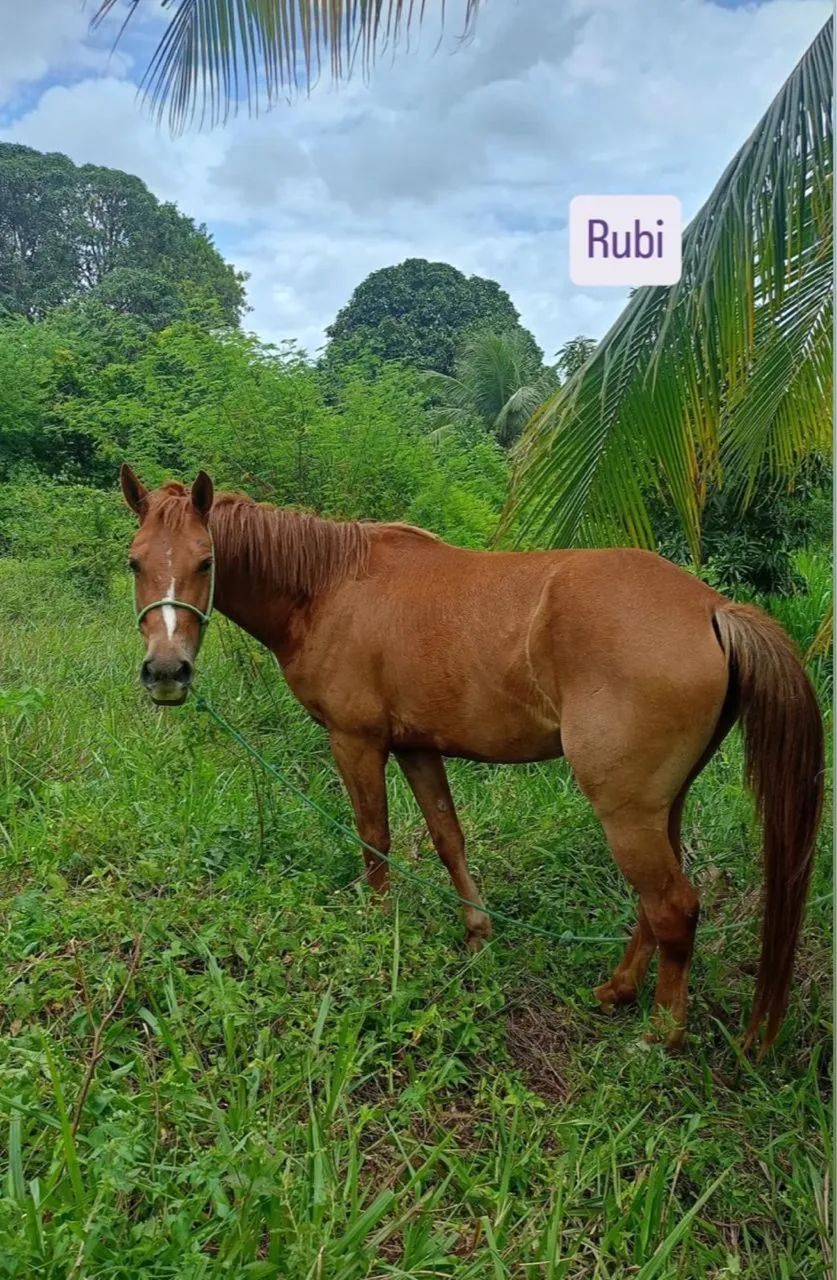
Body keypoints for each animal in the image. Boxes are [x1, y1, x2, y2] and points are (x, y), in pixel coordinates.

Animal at [119, 464, 824, 1052]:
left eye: (207, 561)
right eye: (133, 563)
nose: (166, 672)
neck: (329, 587)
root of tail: (712, 607)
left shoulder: (356, 742)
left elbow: (375, 836)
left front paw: (377, 929)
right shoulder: (417, 747)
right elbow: (447, 838)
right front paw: (477, 933)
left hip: (625, 808)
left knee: (674, 907)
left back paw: (659, 1035)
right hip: (659, 805)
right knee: (657, 907)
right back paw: (617, 991)